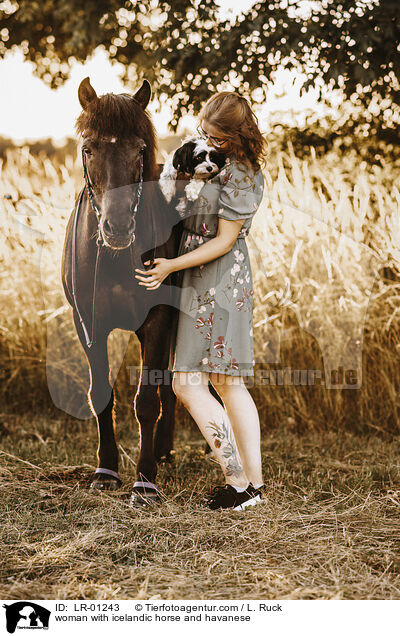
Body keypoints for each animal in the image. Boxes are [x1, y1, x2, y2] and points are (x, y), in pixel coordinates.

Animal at [61, 77, 183, 500]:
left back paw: (161, 451)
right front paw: (106, 470)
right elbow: (100, 393)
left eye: (140, 149)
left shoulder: (158, 320)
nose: (116, 228)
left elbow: (146, 400)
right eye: (88, 148)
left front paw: (145, 480)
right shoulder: (88, 324)